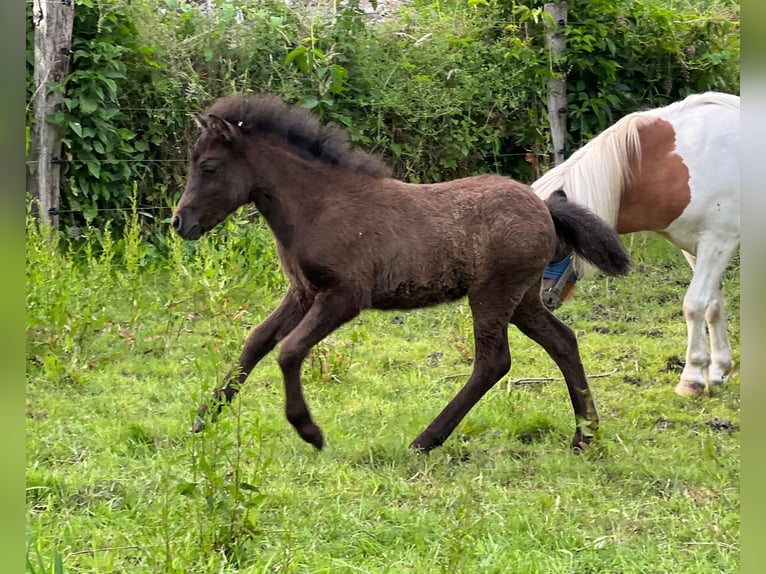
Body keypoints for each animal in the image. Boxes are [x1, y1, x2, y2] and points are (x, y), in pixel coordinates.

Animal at [172, 92, 631, 453]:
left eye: (209, 167)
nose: (180, 222)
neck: (318, 206)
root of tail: (546, 208)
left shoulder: (345, 296)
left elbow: (288, 350)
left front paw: (310, 431)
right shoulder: (302, 292)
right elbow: (256, 342)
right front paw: (204, 417)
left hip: (493, 294)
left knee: (493, 361)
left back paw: (426, 439)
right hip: (523, 298)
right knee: (563, 341)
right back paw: (584, 435)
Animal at [534, 92, 739, 397]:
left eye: (555, 248)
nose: (541, 298)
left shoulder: (718, 241)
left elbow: (694, 304)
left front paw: (691, 378)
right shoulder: (694, 246)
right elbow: (713, 304)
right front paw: (716, 371)